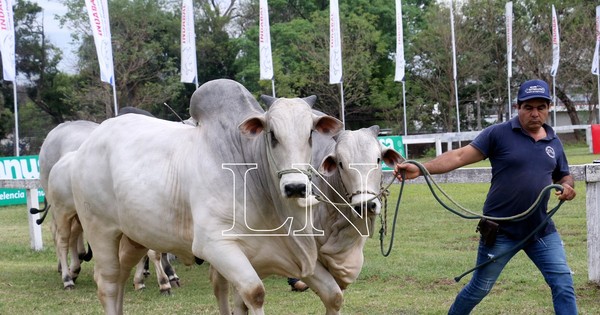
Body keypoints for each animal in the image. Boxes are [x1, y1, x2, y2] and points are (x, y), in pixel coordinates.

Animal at [70, 79, 342, 315]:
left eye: (310, 134)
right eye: (272, 134)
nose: (295, 187)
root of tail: (87, 144)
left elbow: (334, 296)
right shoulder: (214, 244)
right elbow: (254, 293)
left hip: (134, 237)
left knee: (121, 277)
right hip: (101, 231)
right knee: (108, 283)